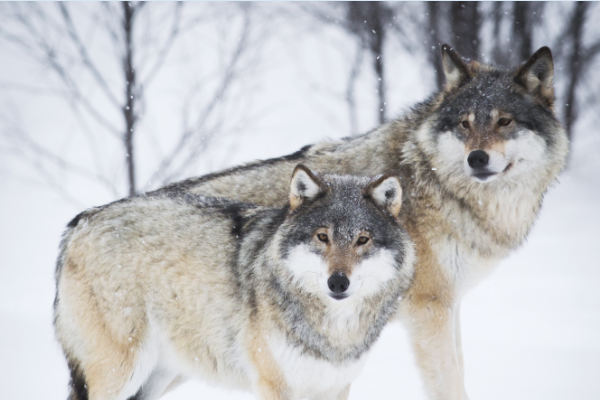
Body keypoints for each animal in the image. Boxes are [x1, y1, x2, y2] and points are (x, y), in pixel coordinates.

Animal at [54, 164, 414, 398]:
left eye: (362, 240)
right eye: (322, 236)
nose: (338, 283)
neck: (334, 331)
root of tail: (79, 222)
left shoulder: (335, 387)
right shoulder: (274, 385)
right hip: (122, 373)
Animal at [152, 45, 568, 398]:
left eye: (504, 122)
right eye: (464, 124)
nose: (476, 158)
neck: (437, 185)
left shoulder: (451, 307)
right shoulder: (431, 310)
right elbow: (451, 384)